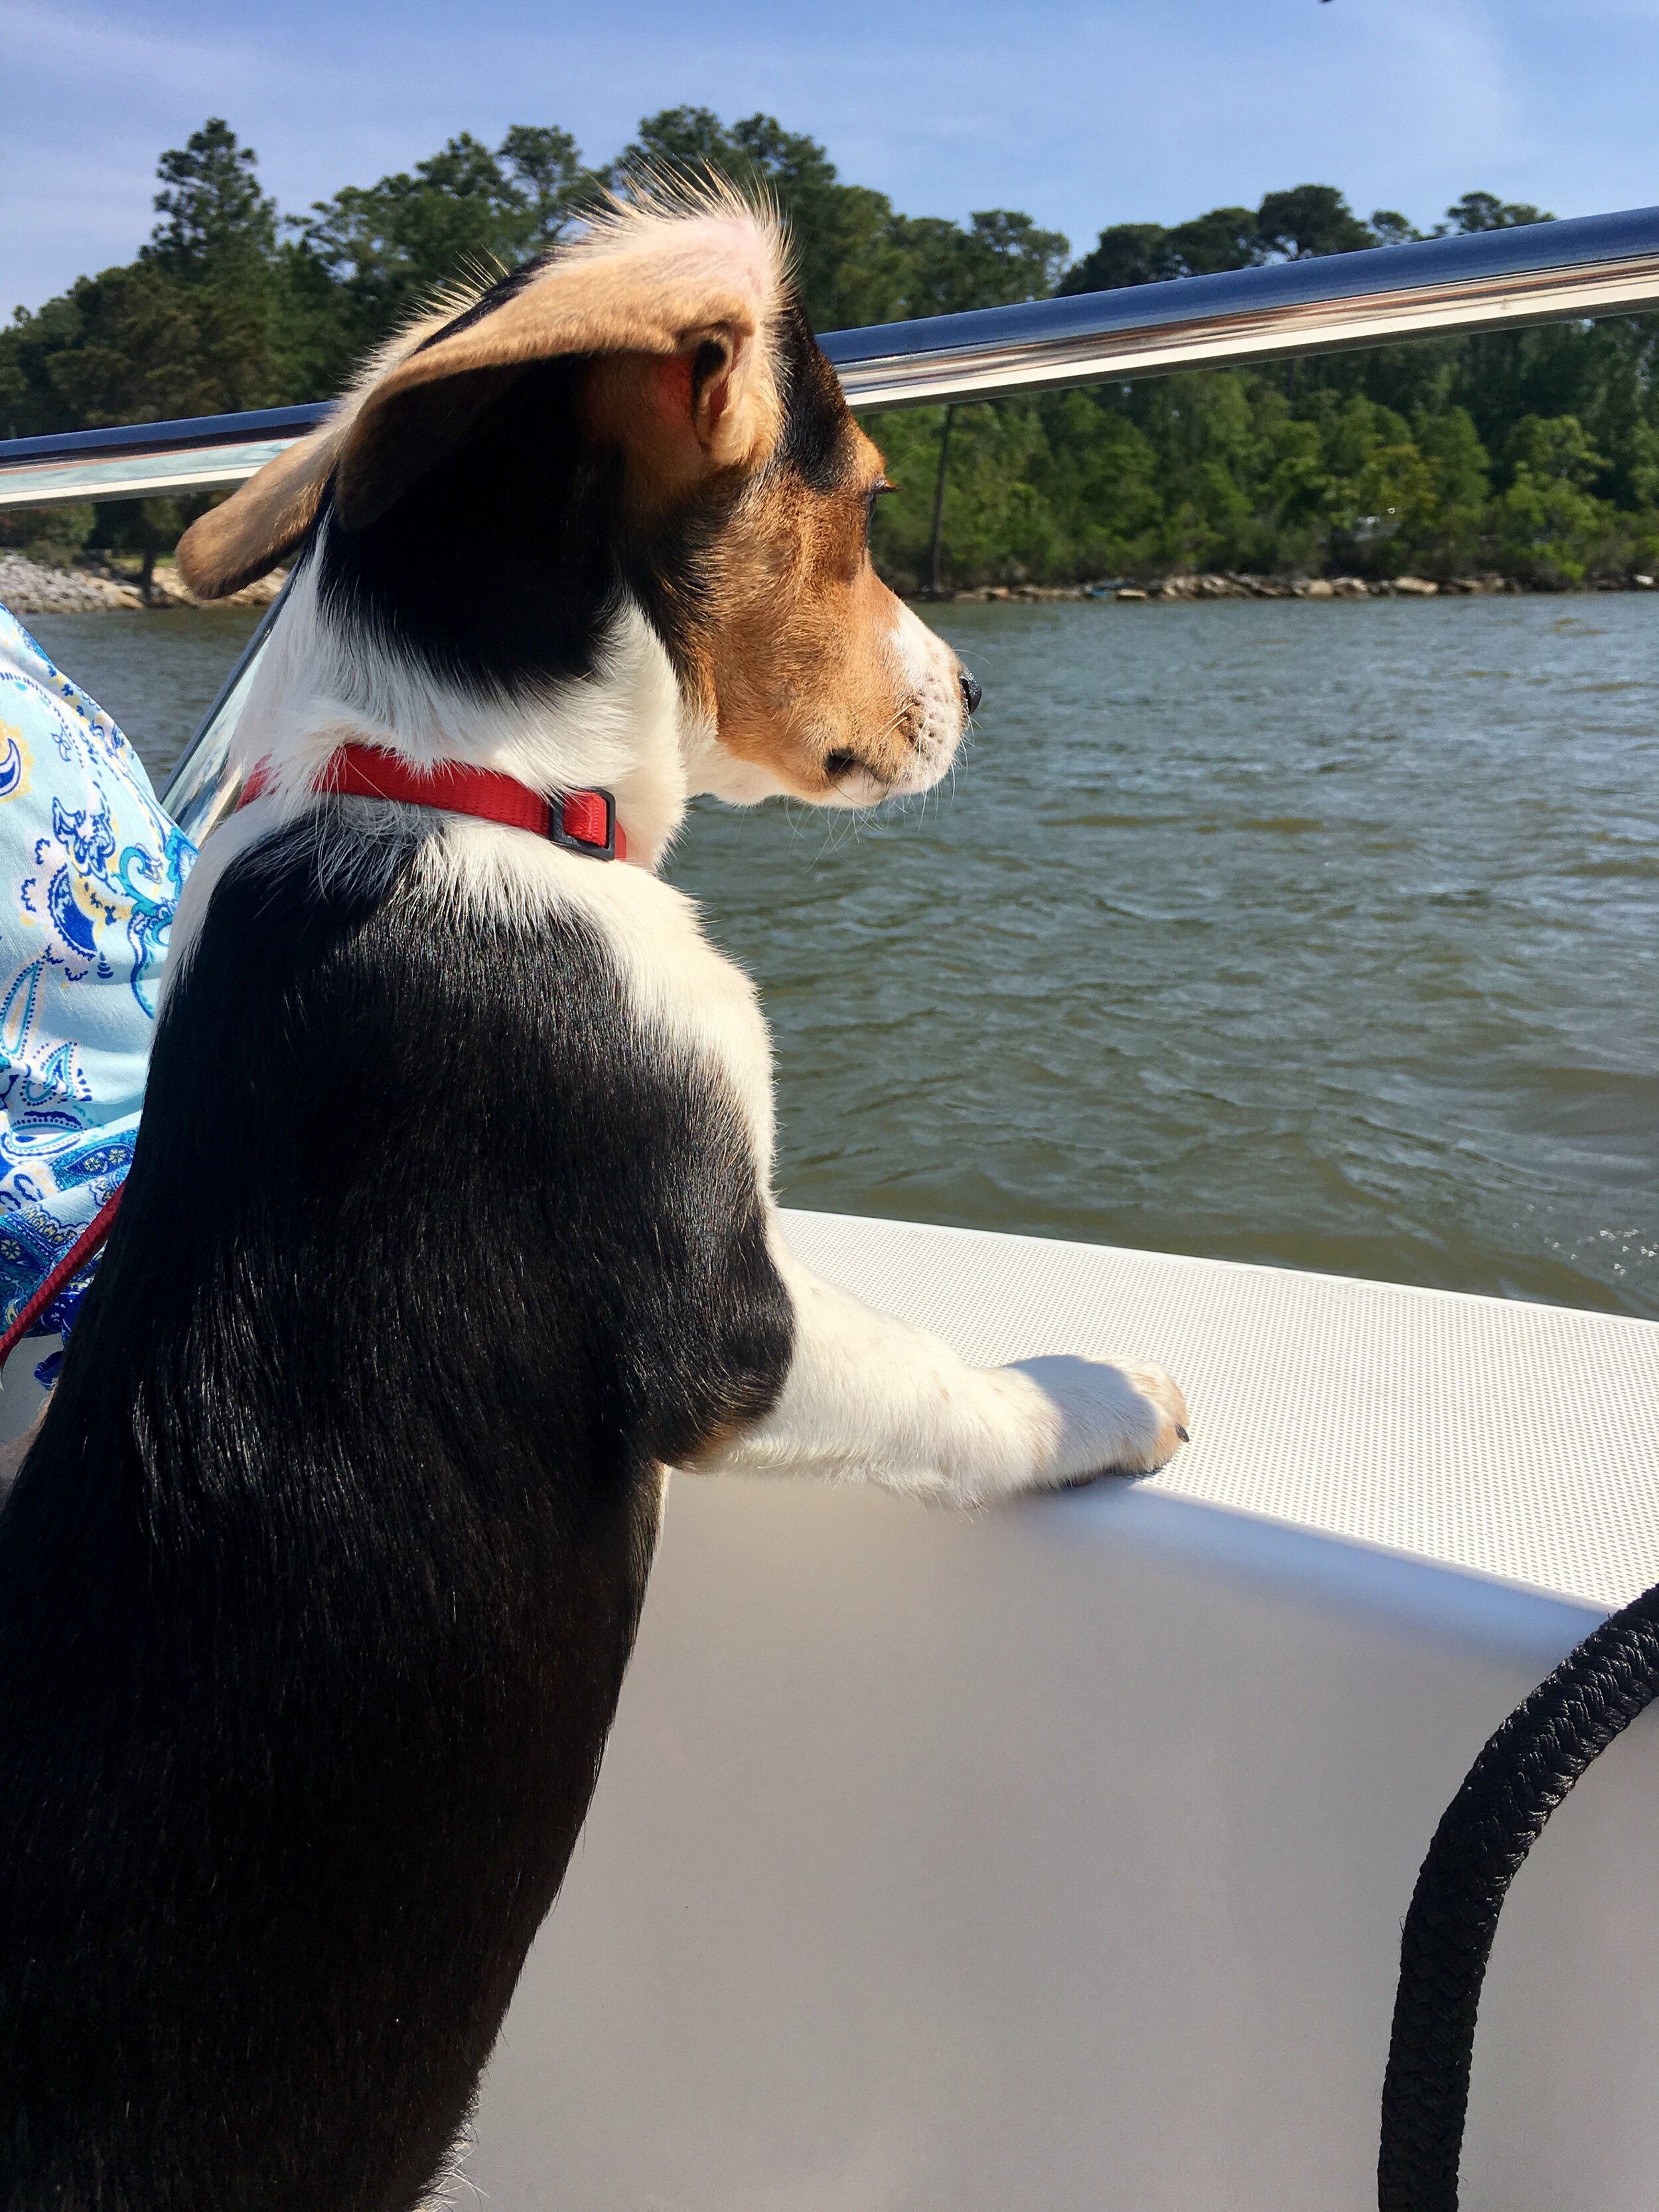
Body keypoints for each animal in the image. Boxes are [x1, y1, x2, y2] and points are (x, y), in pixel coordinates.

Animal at [3, 198, 1194, 2203]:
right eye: (861, 500)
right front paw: (1104, 1395)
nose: (975, 692)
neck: (449, 789)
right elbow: (949, 1385)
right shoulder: (722, 1319)